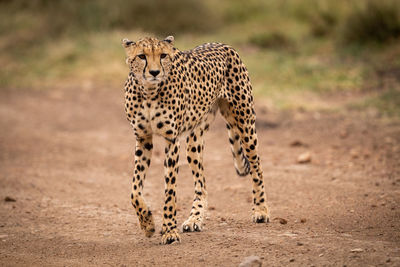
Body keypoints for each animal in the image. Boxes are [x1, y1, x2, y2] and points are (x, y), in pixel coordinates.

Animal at [122, 35, 268, 245]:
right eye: (142, 56)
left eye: (163, 55)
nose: (155, 72)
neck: (149, 91)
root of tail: (222, 44)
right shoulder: (143, 138)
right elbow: (134, 190)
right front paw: (148, 224)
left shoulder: (171, 139)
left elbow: (170, 191)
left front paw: (169, 231)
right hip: (194, 142)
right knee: (202, 184)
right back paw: (194, 219)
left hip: (245, 123)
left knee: (257, 166)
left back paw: (261, 210)